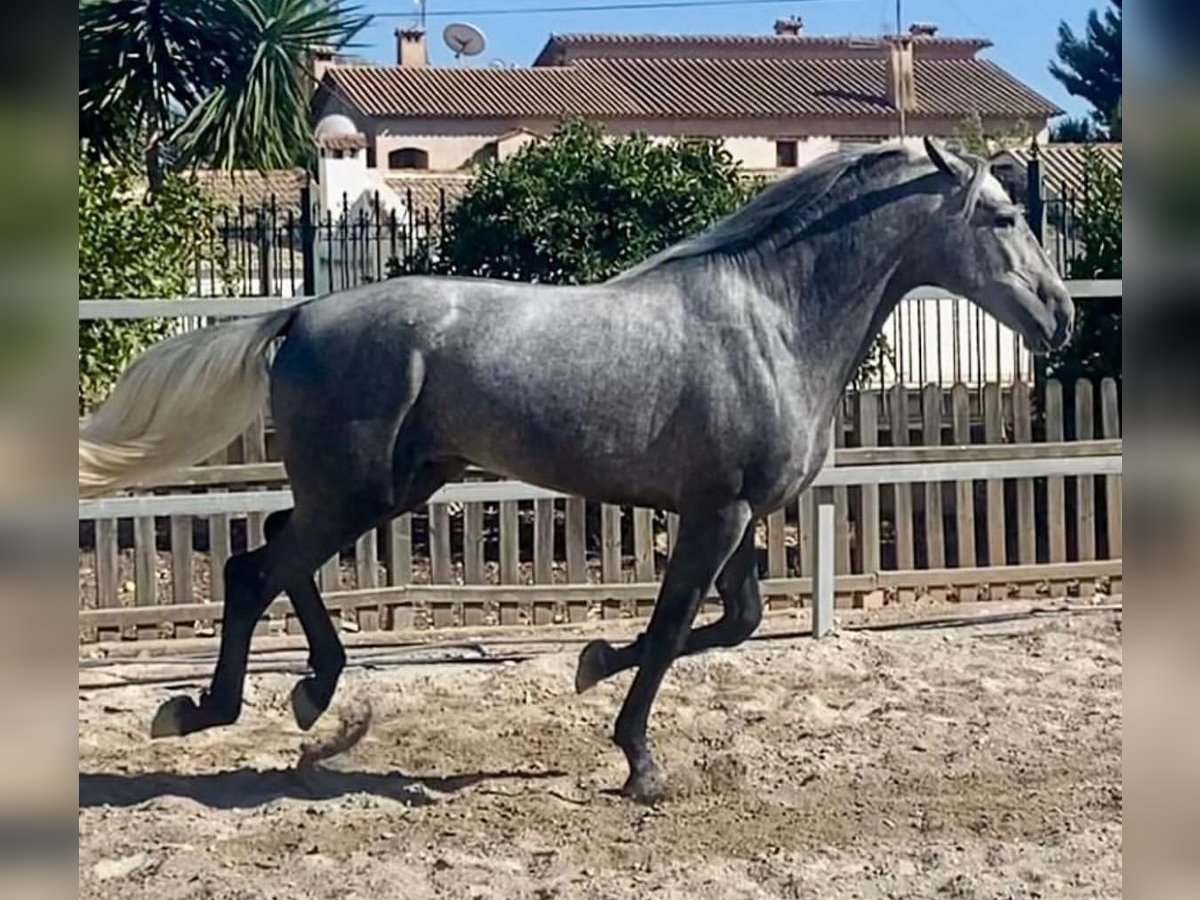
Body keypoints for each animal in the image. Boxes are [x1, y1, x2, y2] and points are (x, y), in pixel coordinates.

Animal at [79, 139, 1075, 801]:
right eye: (1001, 216)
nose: (1060, 314)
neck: (772, 318)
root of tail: (299, 316)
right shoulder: (714, 513)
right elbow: (673, 629)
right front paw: (638, 761)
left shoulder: (741, 515)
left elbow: (737, 623)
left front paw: (593, 663)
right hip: (357, 492)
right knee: (254, 571)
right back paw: (201, 710)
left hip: (388, 487)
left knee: (279, 557)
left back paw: (311, 695)